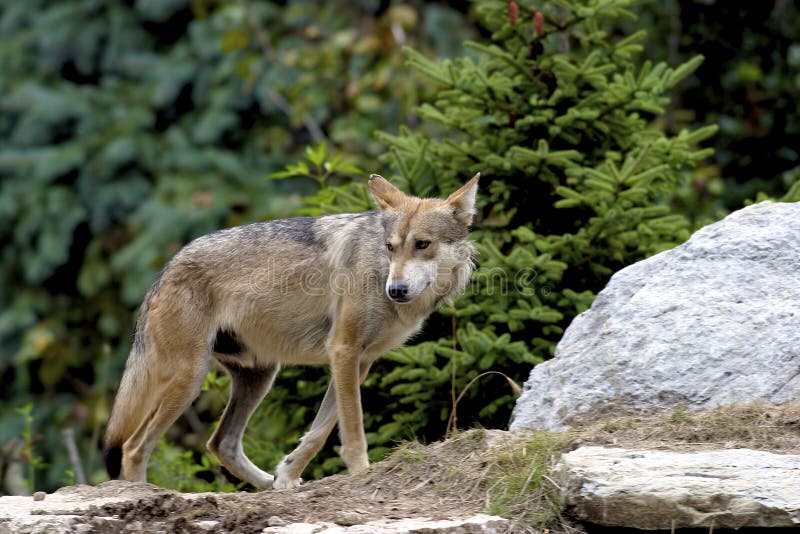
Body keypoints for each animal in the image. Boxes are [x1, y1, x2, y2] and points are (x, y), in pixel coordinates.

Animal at [104, 173, 482, 490]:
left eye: (423, 244)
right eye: (390, 247)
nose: (396, 290)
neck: (379, 271)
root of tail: (163, 271)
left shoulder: (360, 362)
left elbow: (319, 431)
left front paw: (286, 475)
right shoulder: (343, 350)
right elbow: (352, 428)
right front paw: (361, 472)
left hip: (259, 377)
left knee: (220, 443)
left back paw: (268, 483)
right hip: (190, 379)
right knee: (133, 447)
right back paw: (142, 493)